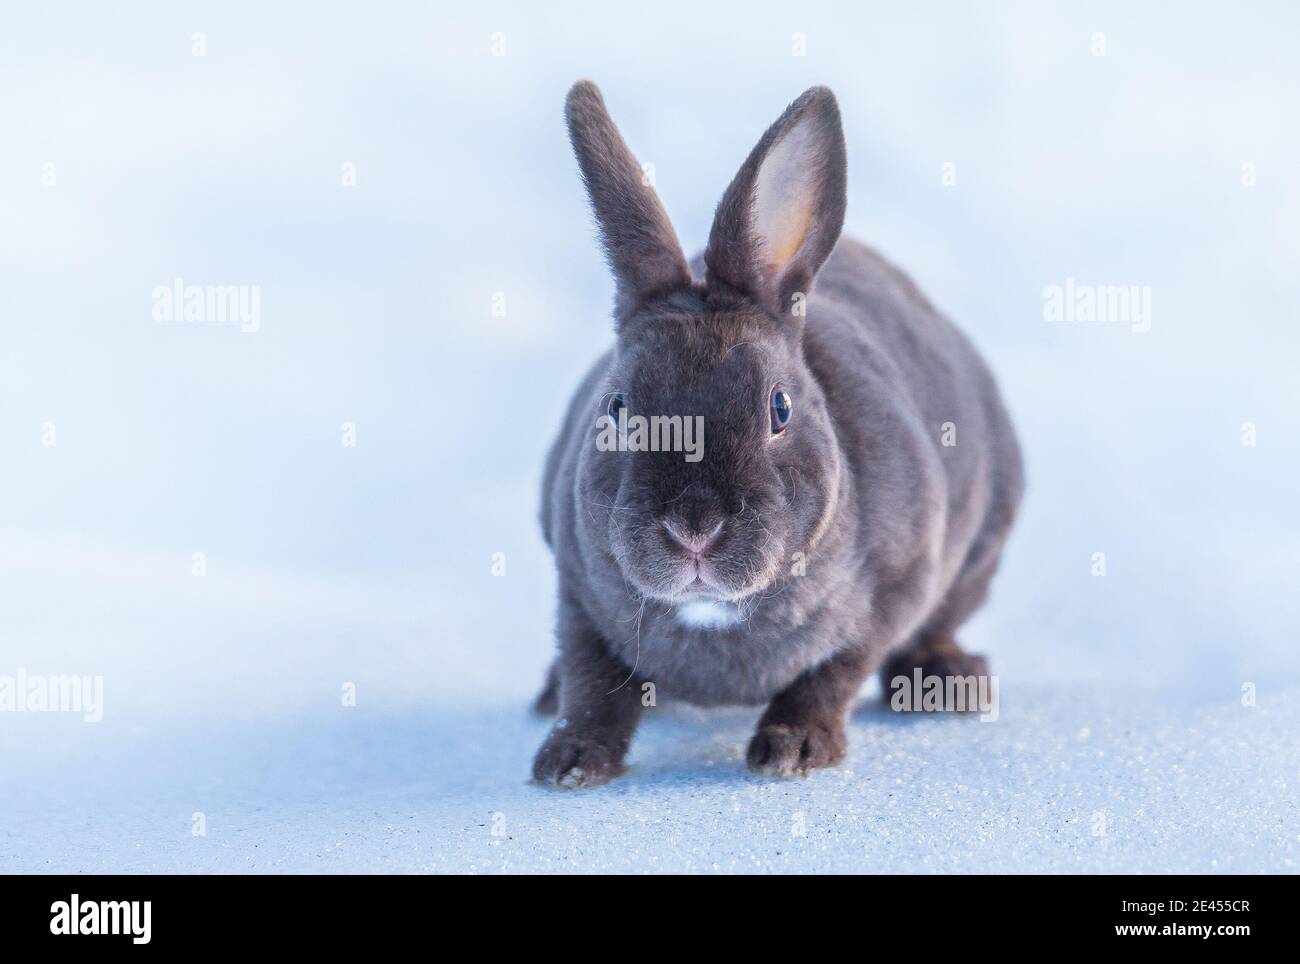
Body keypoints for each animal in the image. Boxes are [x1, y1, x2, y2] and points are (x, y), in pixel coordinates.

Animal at [531, 80, 1023, 788]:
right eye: (617, 409)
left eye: (780, 408)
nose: (694, 528)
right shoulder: (575, 587)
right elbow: (592, 678)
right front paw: (569, 761)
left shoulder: (897, 588)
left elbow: (834, 673)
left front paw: (793, 750)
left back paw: (950, 682)